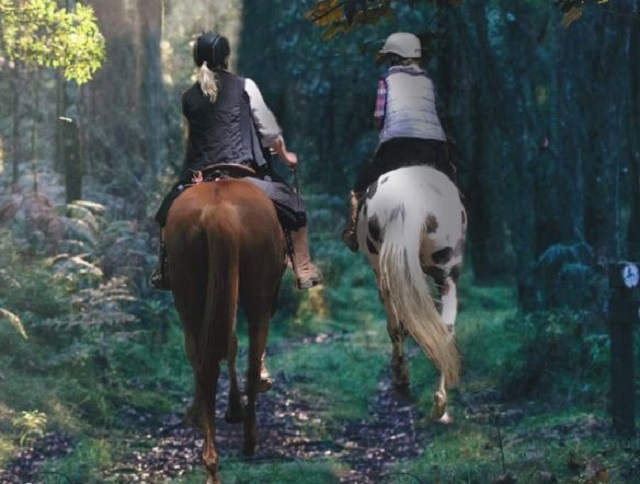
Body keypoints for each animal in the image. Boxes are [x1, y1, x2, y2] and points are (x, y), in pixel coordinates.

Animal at [164, 164, 286, 482]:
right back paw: (247, 439)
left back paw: (210, 460)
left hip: (188, 292)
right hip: (257, 296)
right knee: (249, 360)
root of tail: (217, 213)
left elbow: (224, 346)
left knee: (205, 361)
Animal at [356, 164, 464, 422]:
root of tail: (407, 201)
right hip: (446, 274)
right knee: (444, 328)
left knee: (396, 327)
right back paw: (439, 402)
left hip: (383, 273)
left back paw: (404, 381)